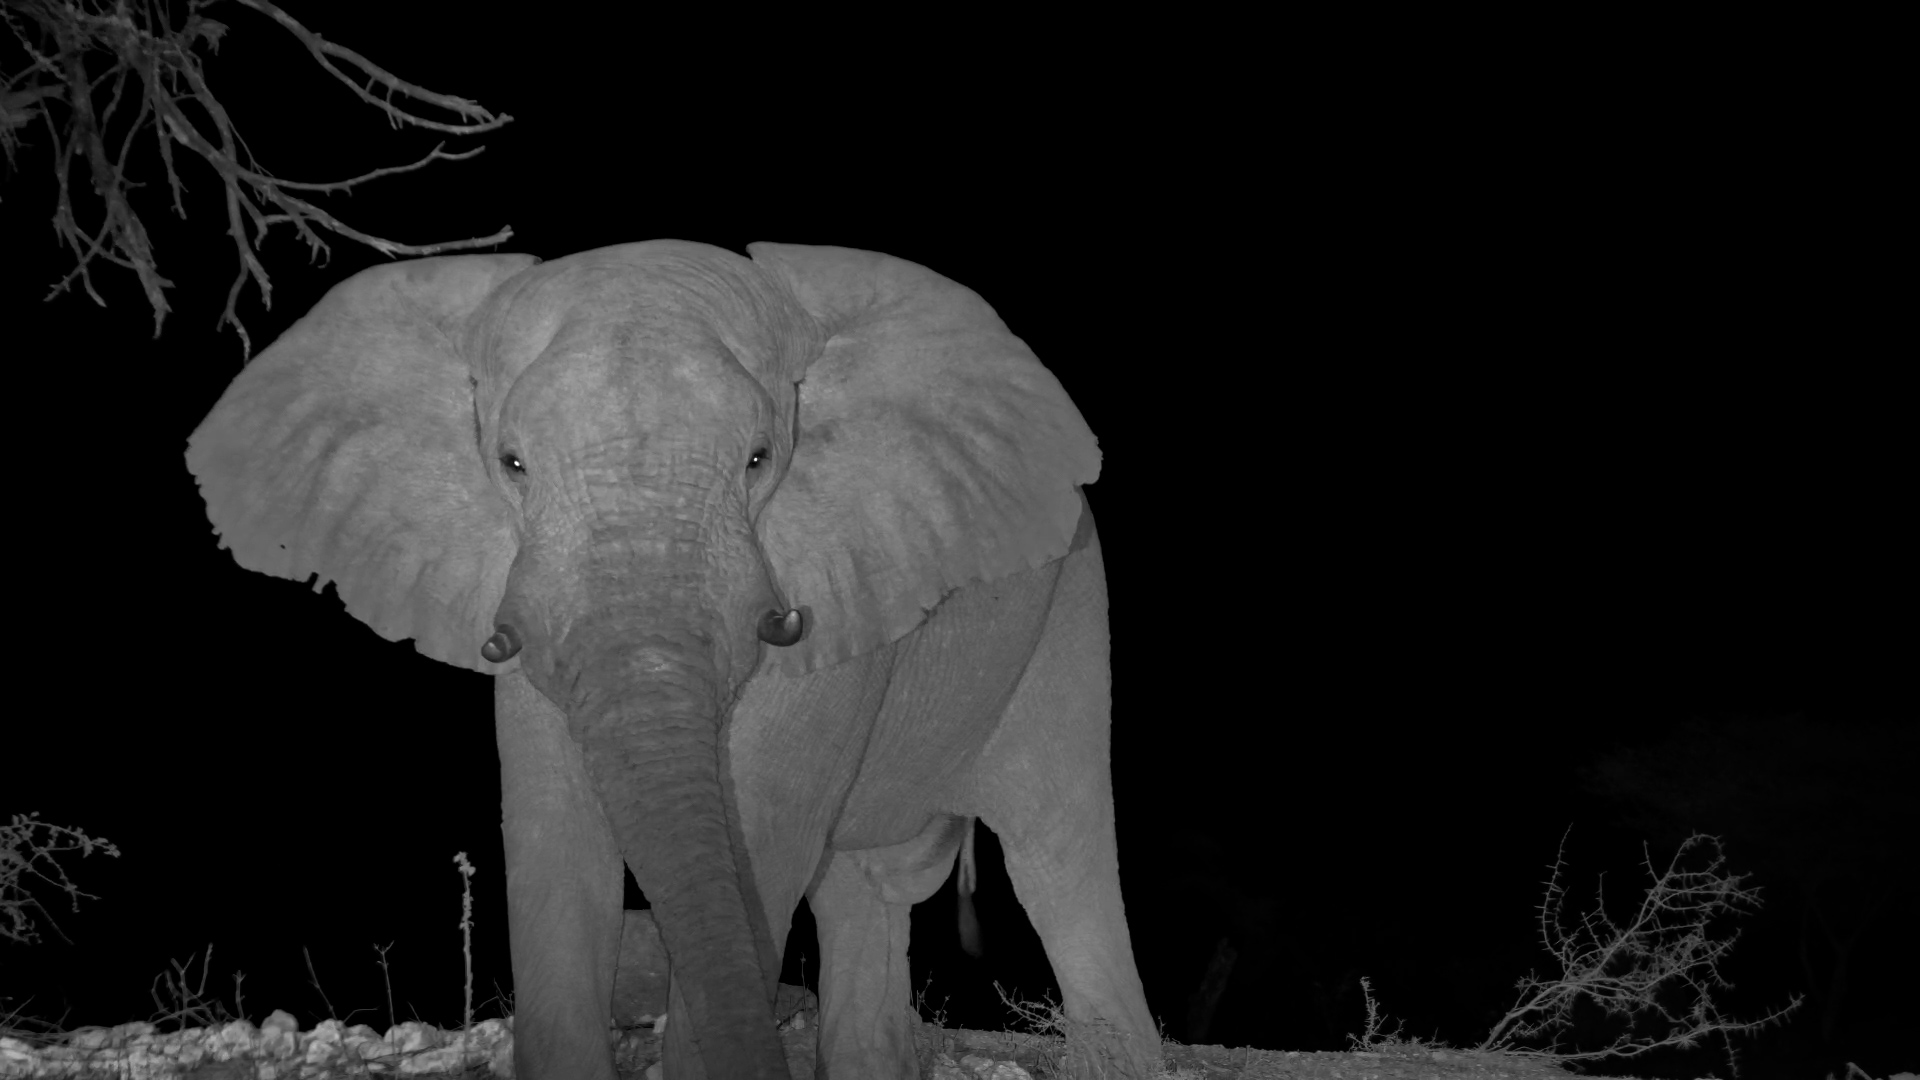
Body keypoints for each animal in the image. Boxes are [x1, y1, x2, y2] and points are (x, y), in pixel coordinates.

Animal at [185, 240, 1159, 1080]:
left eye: (759, 459)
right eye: (512, 463)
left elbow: (755, 838)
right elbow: (557, 844)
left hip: (1071, 608)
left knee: (1057, 858)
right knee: (860, 894)